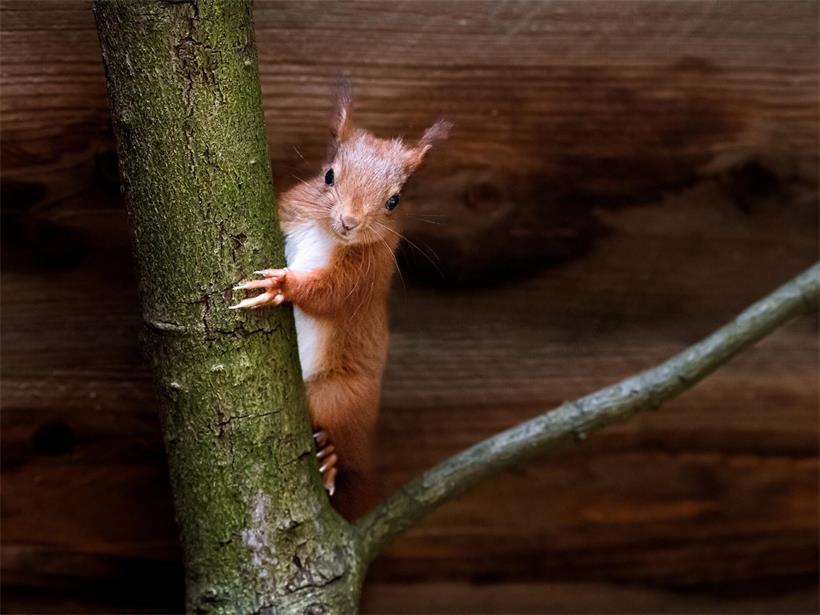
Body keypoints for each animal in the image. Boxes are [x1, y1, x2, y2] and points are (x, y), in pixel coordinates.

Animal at [231, 83, 449, 518]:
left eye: (394, 201)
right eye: (328, 176)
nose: (349, 221)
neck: (325, 233)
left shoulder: (366, 274)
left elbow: (330, 294)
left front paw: (283, 287)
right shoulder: (290, 213)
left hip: (337, 398)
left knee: (341, 445)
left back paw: (331, 459)